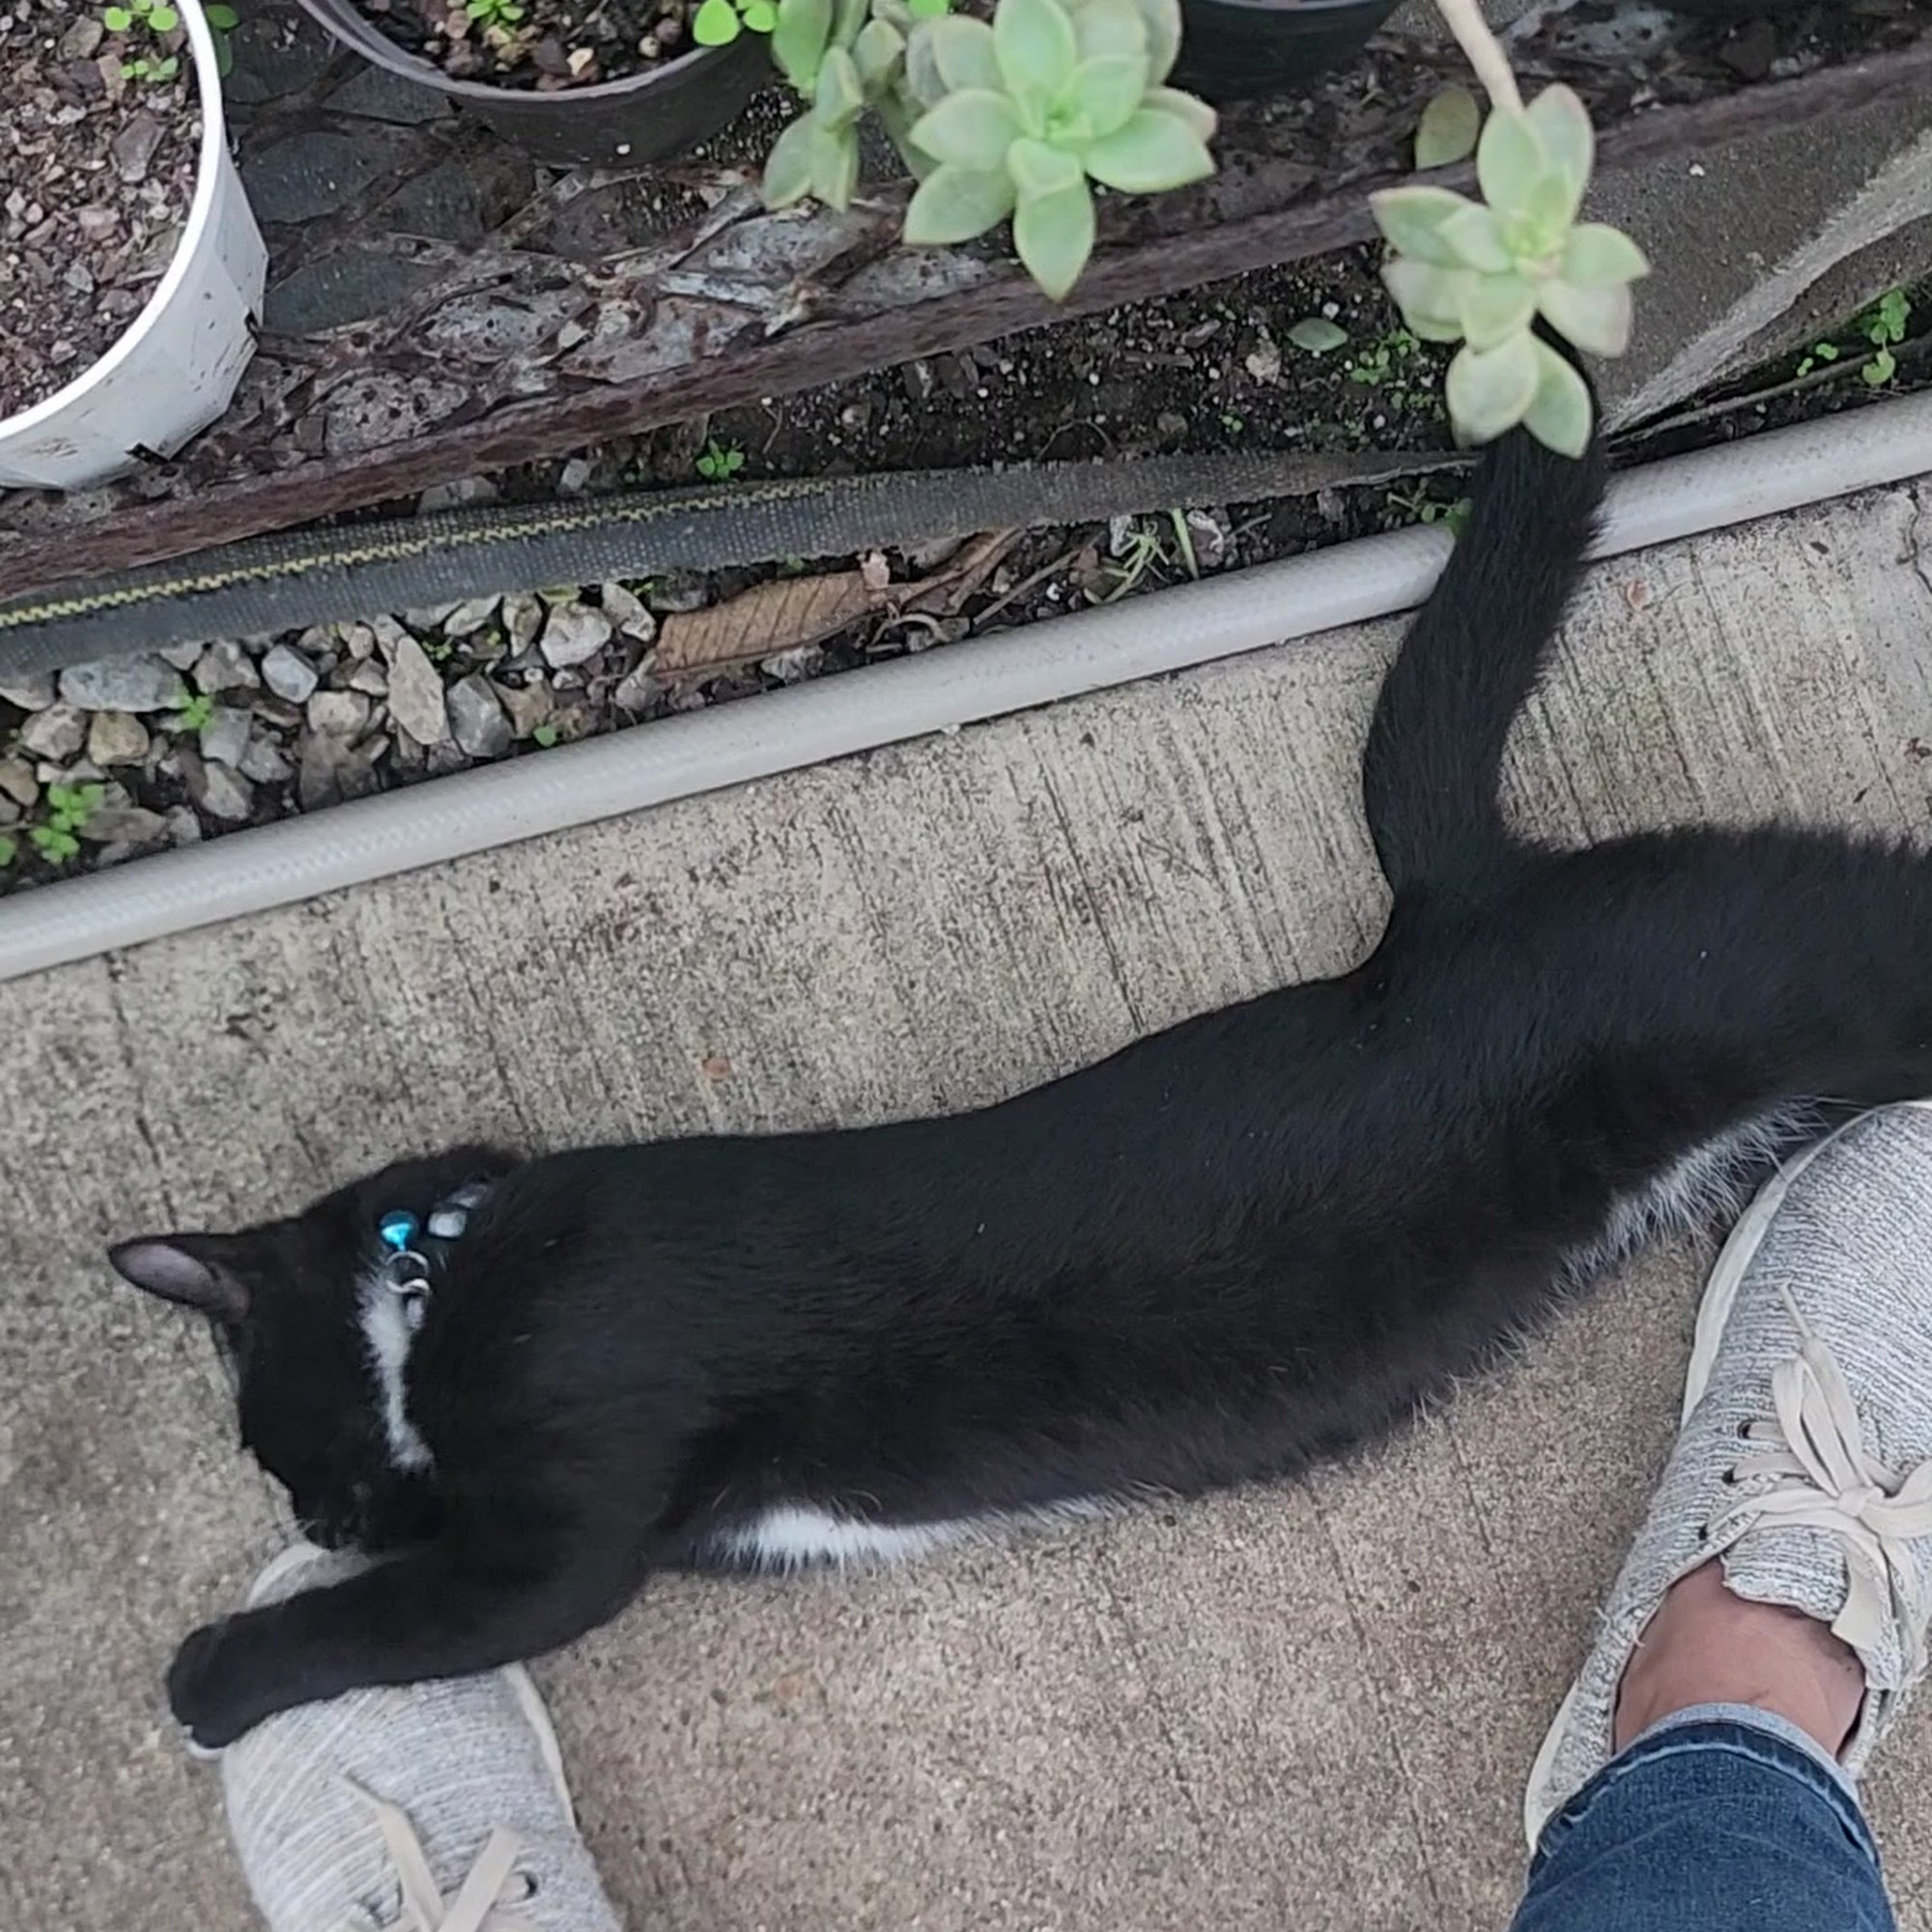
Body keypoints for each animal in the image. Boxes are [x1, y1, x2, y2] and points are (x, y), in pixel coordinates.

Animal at [113, 358, 1932, 1753]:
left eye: (271, 1449)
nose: (317, 1523)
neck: (440, 1269)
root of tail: (1453, 909)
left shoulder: (567, 1511)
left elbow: (421, 1612)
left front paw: (223, 1673)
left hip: (1761, 968)